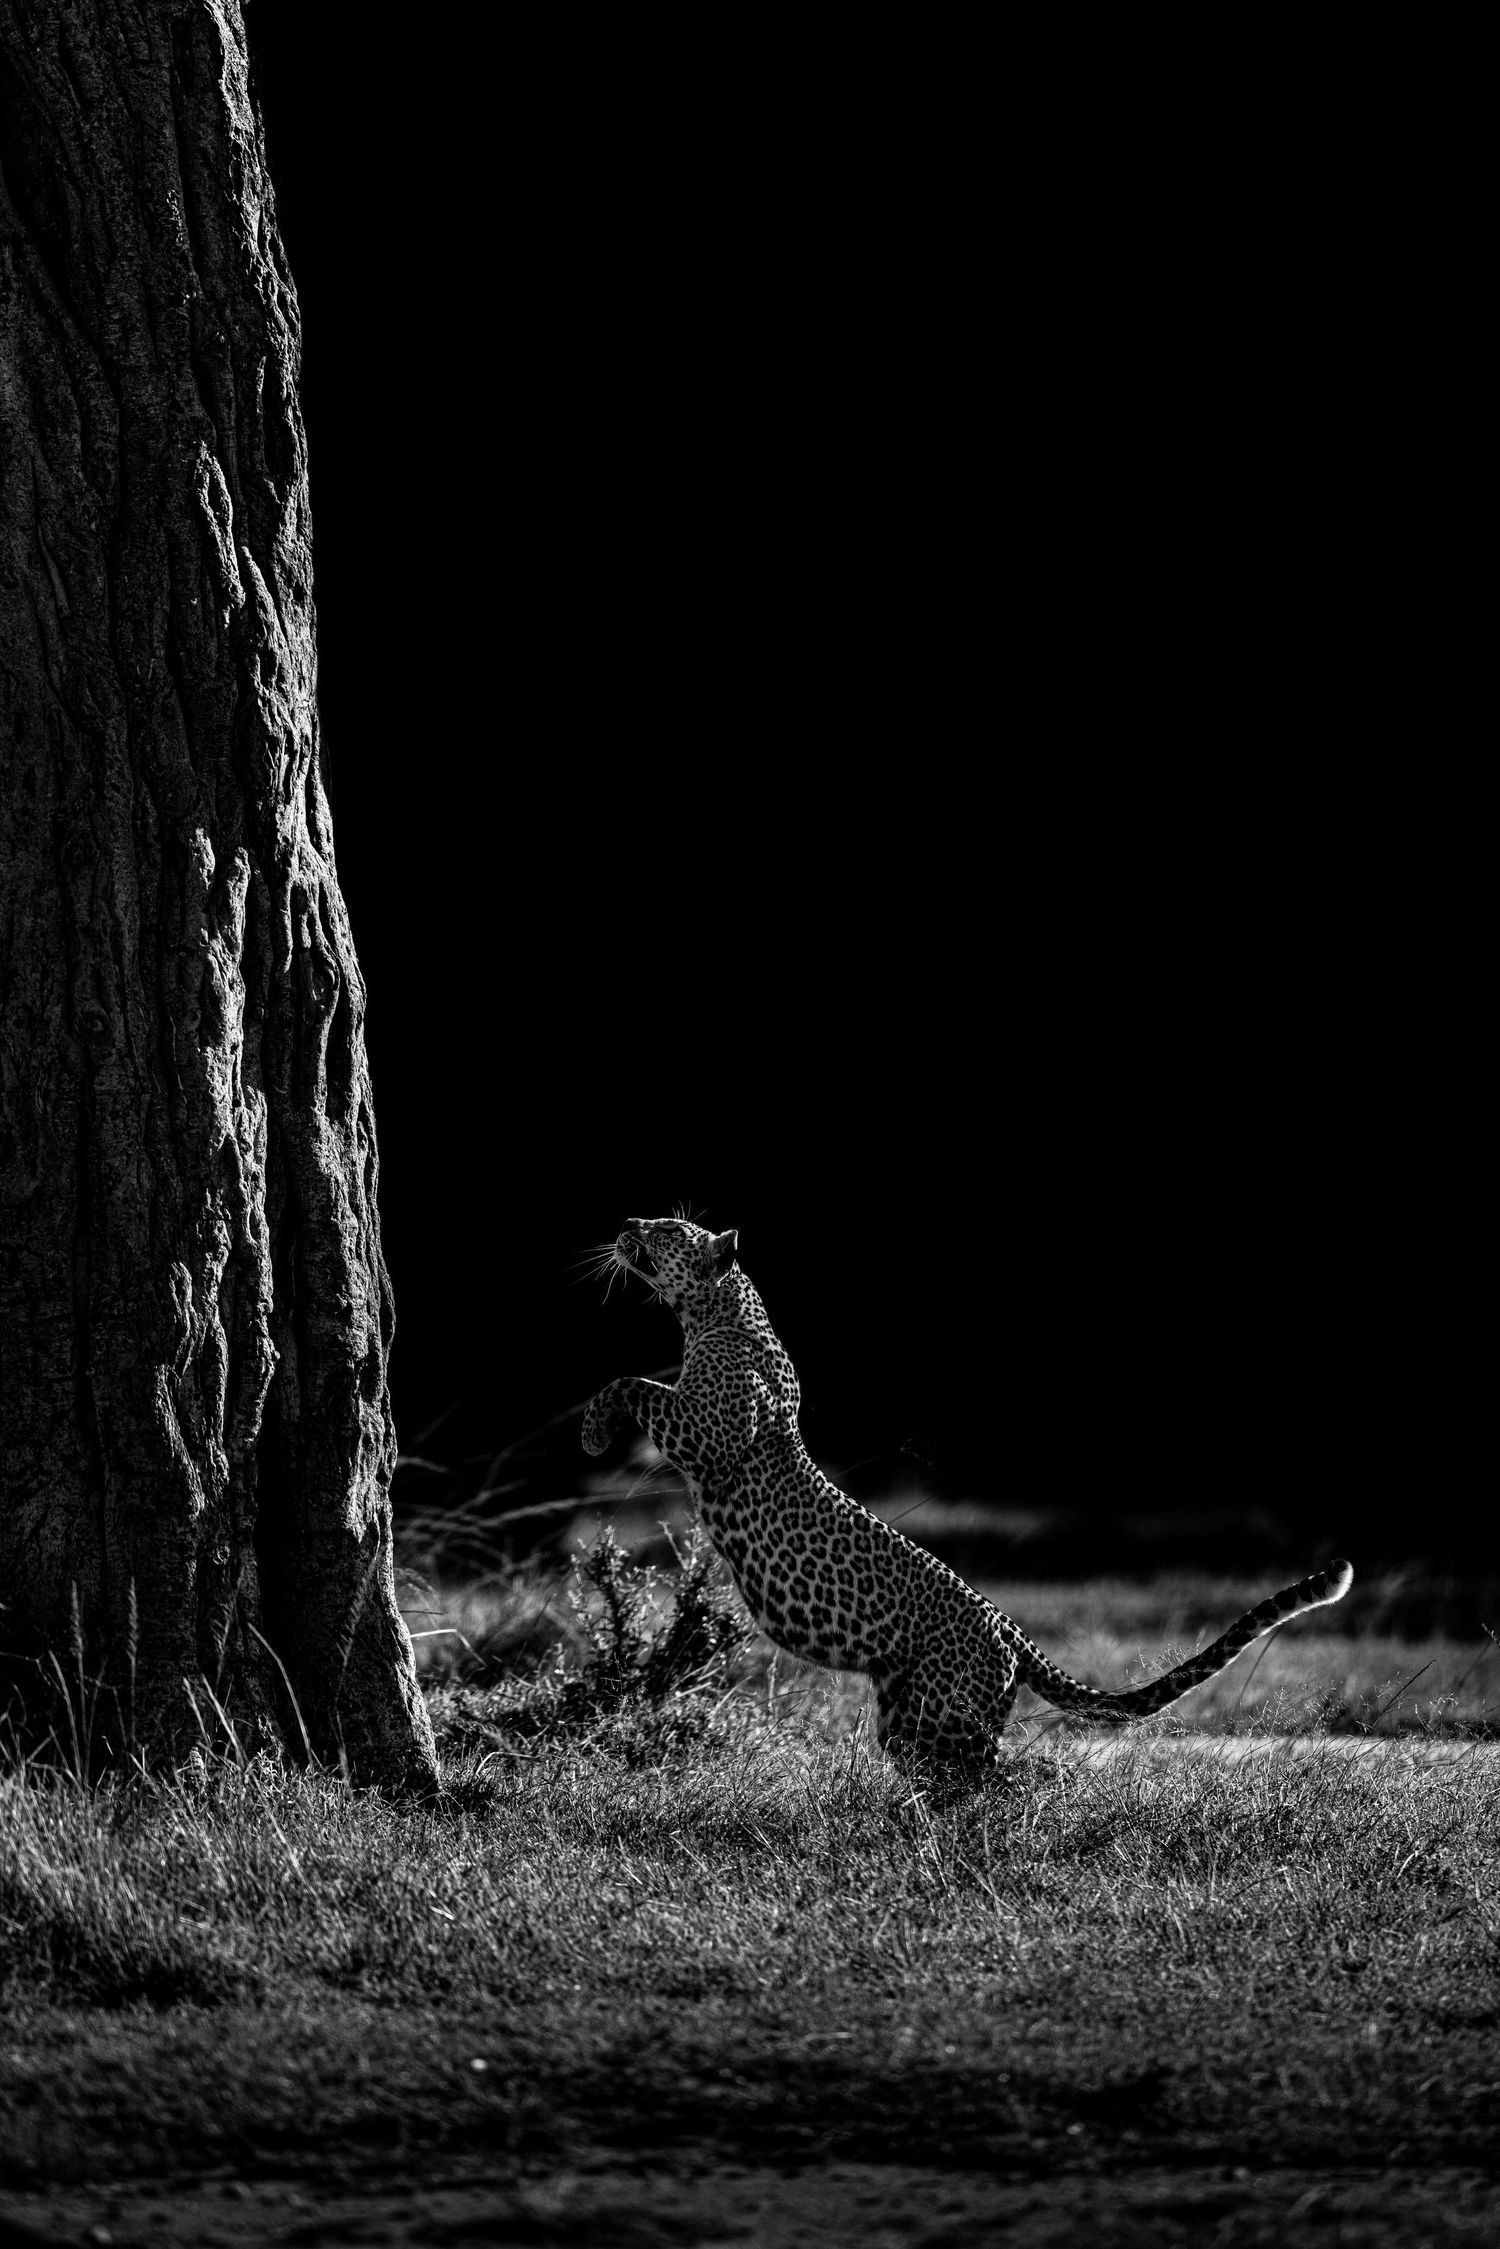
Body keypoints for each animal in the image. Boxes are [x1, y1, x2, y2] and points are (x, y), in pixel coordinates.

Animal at [581, 1217, 1353, 1766]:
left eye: (667, 1229)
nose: (628, 1219)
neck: (717, 1312)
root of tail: (1007, 1625)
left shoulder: (706, 1432)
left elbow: (630, 1380)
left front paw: (592, 1431)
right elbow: (636, 1378)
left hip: (946, 1716)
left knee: (1007, 1775)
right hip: (911, 1716)